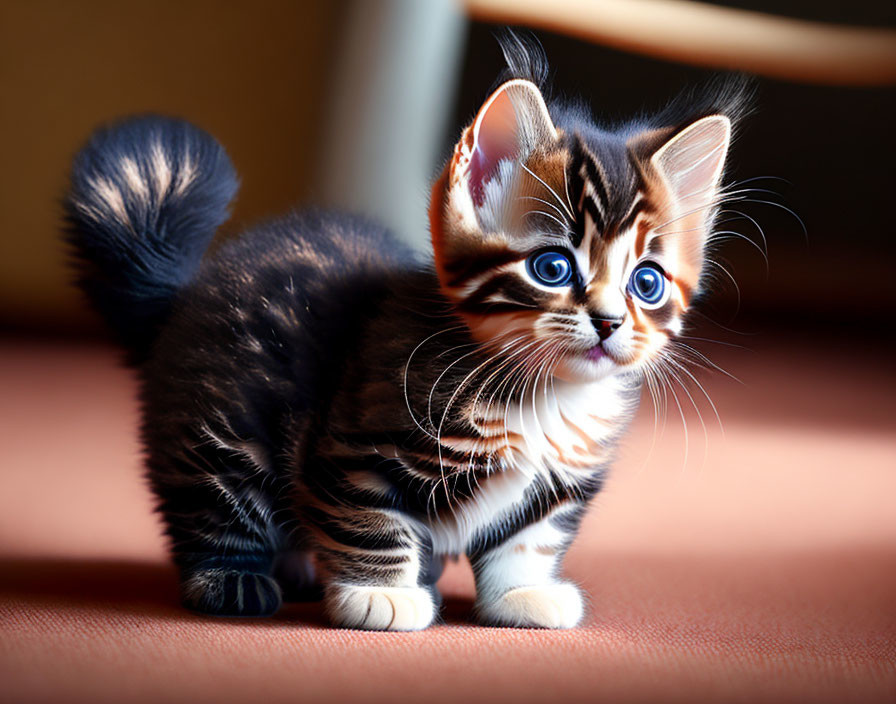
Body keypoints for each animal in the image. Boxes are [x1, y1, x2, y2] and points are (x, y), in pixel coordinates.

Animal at [65, 41, 748, 628]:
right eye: (552, 268)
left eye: (647, 282)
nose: (608, 322)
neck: (540, 394)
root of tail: (185, 294)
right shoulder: (356, 443)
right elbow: (370, 519)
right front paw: (379, 594)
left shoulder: (559, 483)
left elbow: (528, 539)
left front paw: (522, 592)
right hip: (224, 423)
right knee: (211, 501)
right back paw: (232, 579)